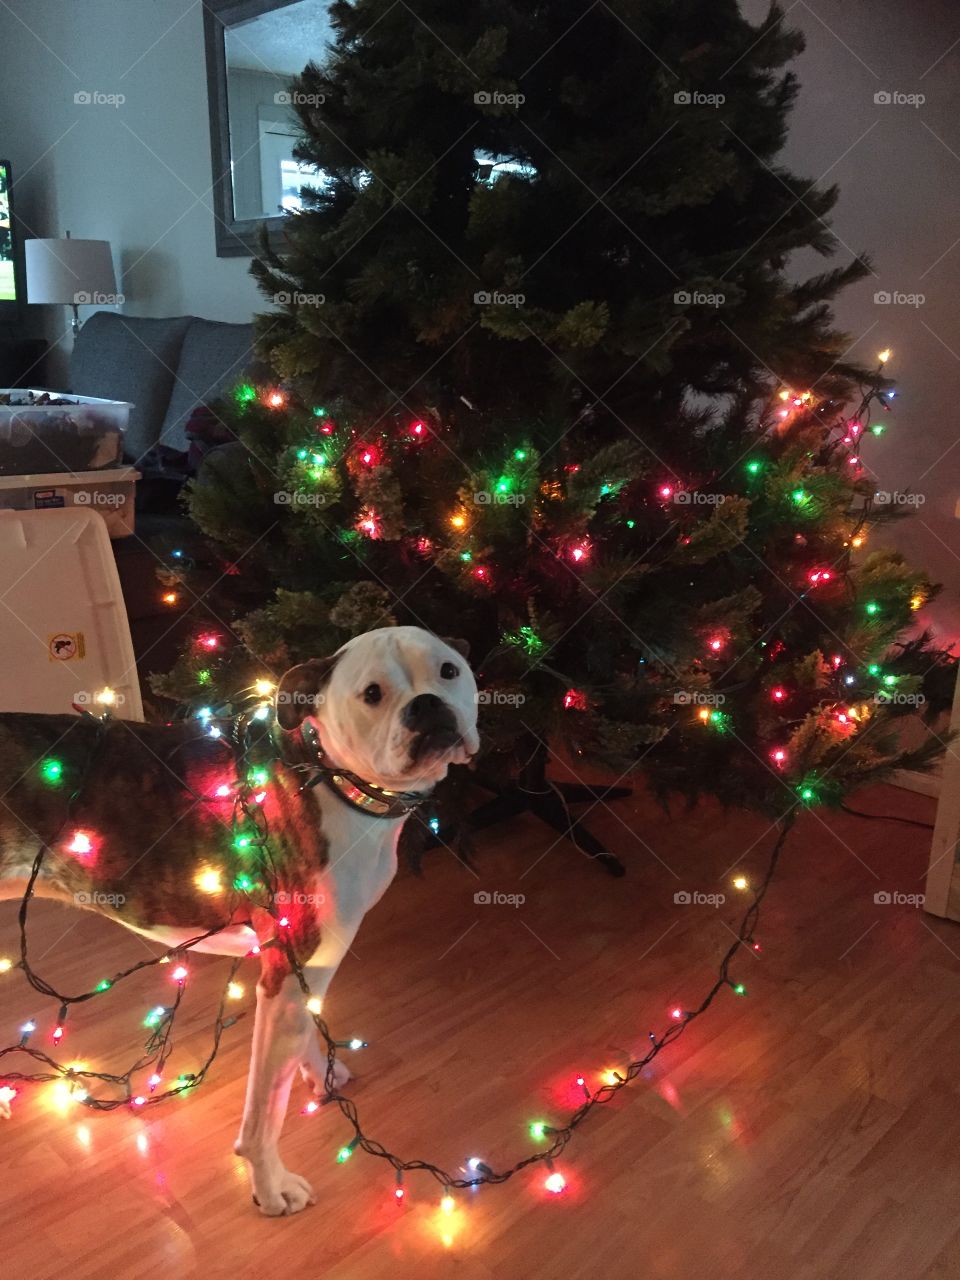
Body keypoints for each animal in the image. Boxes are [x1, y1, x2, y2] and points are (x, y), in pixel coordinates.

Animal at [0, 624, 481, 1213]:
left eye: (448, 671)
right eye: (372, 694)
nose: (428, 705)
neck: (327, 775)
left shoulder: (306, 973)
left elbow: (300, 1039)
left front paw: (318, 1074)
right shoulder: (287, 973)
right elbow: (265, 1111)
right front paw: (270, 1185)